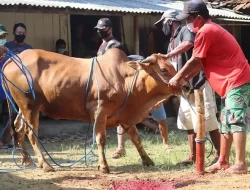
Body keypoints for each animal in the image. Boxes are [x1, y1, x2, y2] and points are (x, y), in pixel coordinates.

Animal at [1, 47, 188, 174]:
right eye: (163, 69)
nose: (186, 85)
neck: (125, 80)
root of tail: (13, 58)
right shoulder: (99, 112)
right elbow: (101, 138)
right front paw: (103, 166)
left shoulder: (125, 116)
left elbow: (136, 139)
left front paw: (147, 159)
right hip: (30, 106)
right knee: (31, 133)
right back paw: (45, 165)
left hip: (24, 107)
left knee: (19, 128)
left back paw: (26, 160)